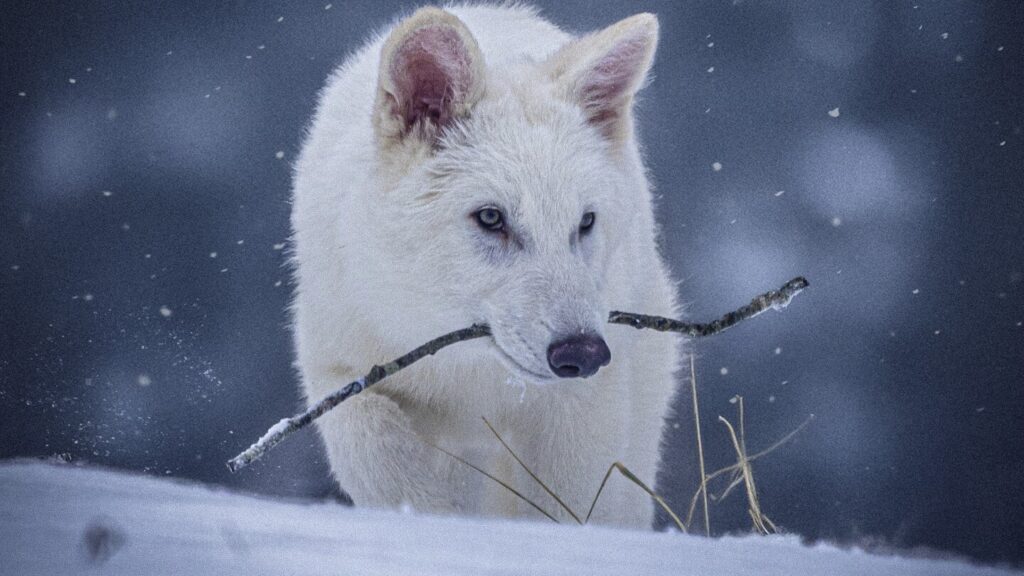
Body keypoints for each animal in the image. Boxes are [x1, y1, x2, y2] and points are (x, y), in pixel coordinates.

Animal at [291, 4, 682, 528]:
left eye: (585, 222)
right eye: (491, 218)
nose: (583, 353)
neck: (470, 371)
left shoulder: (580, 409)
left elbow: (567, 507)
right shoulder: (340, 371)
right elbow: (380, 456)